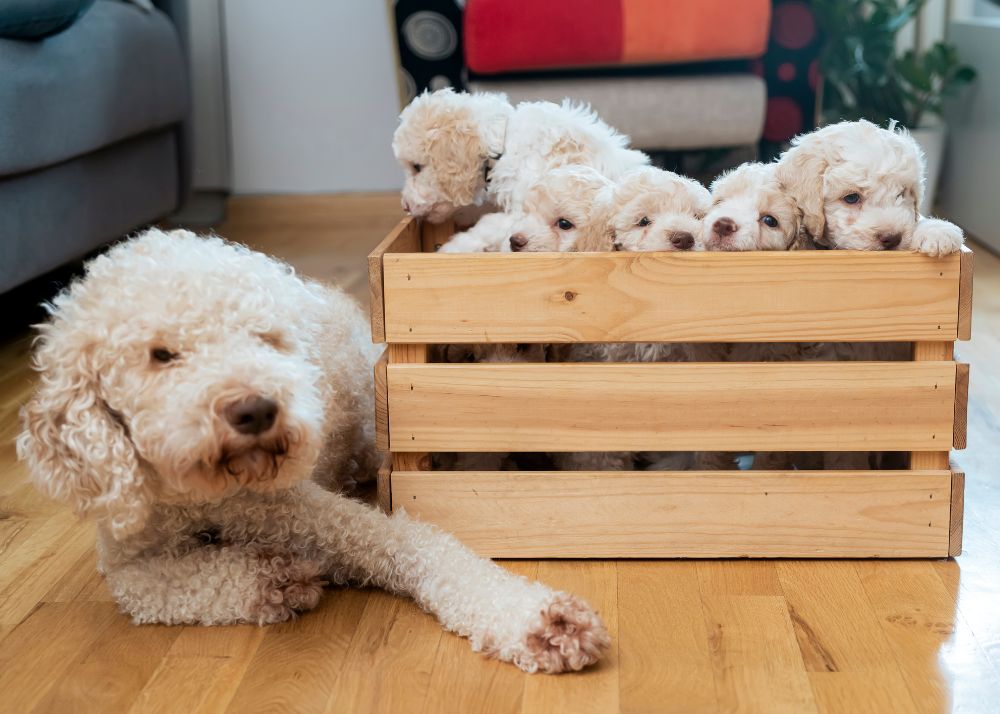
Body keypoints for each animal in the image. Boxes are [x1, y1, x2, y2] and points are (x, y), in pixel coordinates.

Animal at [15, 228, 608, 672]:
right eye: (161, 354)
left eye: (263, 338)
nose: (257, 409)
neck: (206, 500)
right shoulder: (124, 562)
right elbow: (155, 588)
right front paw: (274, 578)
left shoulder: (340, 522)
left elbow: (429, 551)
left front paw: (541, 622)